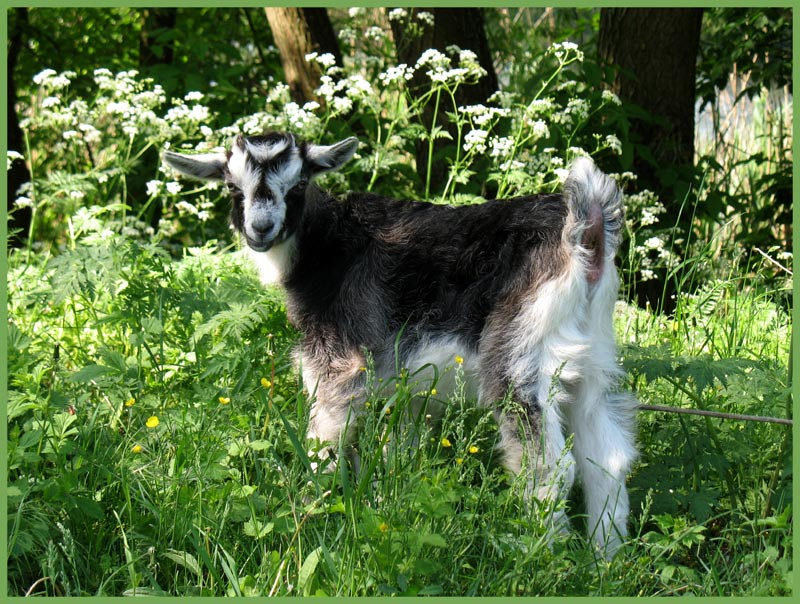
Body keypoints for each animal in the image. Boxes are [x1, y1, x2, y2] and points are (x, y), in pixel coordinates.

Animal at [163, 131, 638, 556]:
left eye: (298, 184)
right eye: (232, 185)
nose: (261, 229)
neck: (327, 245)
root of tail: (585, 227)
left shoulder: (338, 365)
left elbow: (324, 445)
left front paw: (311, 516)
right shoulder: (403, 391)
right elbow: (397, 456)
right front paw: (384, 511)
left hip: (519, 353)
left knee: (548, 466)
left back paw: (536, 558)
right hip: (589, 359)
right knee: (606, 458)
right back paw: (603, 560)